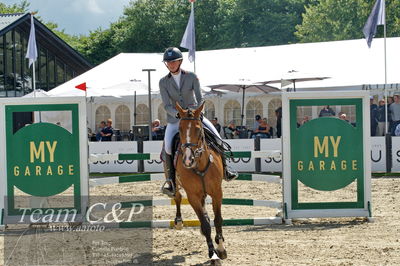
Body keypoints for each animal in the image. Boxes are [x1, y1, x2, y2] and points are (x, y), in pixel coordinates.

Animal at [173, 101, 227, 264]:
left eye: (198, 129)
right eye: (180, 129)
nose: (187, 160)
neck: (200, 165)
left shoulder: (217, 192)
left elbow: (217, 220)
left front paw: (221, 248)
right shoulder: (193, 196)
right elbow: (205, 223)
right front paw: (213, 254)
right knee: (177, 197)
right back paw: (178, 221)